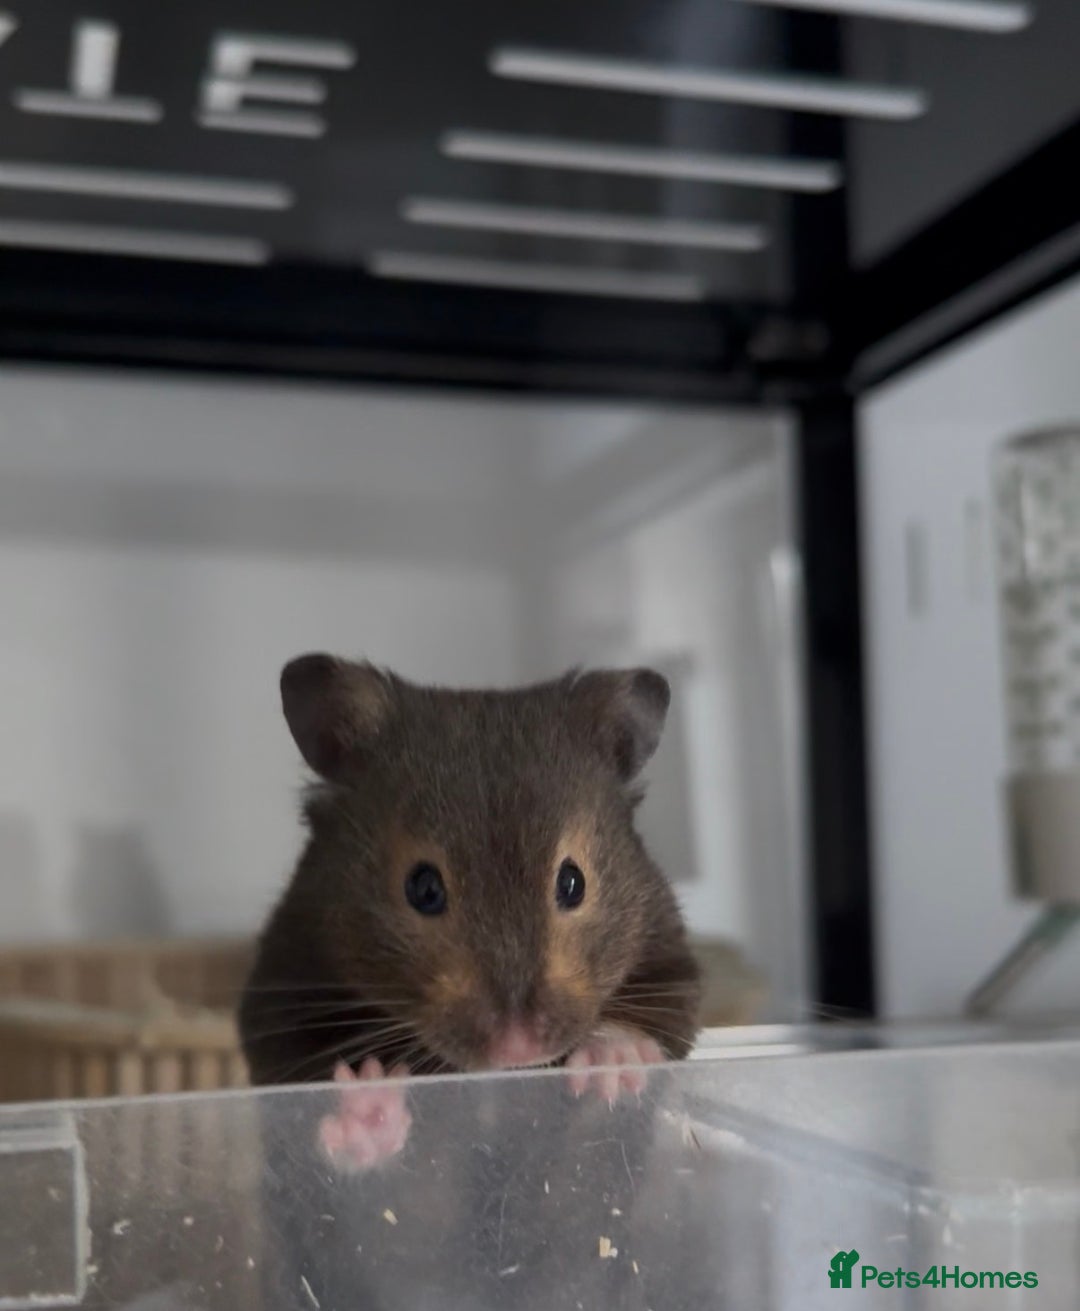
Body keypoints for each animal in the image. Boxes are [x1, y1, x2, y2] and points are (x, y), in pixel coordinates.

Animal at [239, 653, 702, 1092]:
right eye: (423, 889)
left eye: (573, 883)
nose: (517, 1048)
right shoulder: (281, 985)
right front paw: (369, 1089)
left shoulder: (666, 949)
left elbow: (663, 1013)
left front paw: (613, 1065)